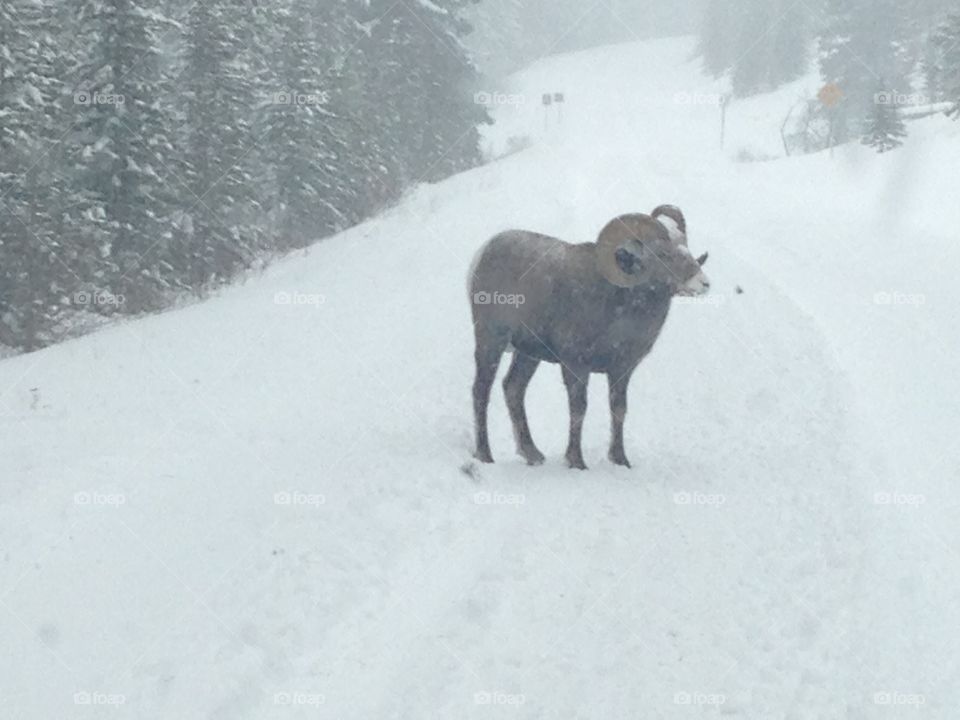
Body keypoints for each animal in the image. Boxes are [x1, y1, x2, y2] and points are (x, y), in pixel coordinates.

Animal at [468, 205, 708, 470]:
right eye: (662, 253)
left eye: (686, 246)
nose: (703, 283)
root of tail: (484, 251)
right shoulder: (576, 366)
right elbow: (579, 409)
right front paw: (576, 462)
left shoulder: (621, 370)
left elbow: (619, 409)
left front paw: (620, 460)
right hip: (491, 341)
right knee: (481, 390)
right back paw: (485, 455)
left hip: (527, 355)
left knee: (513, 388)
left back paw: (532, 454)